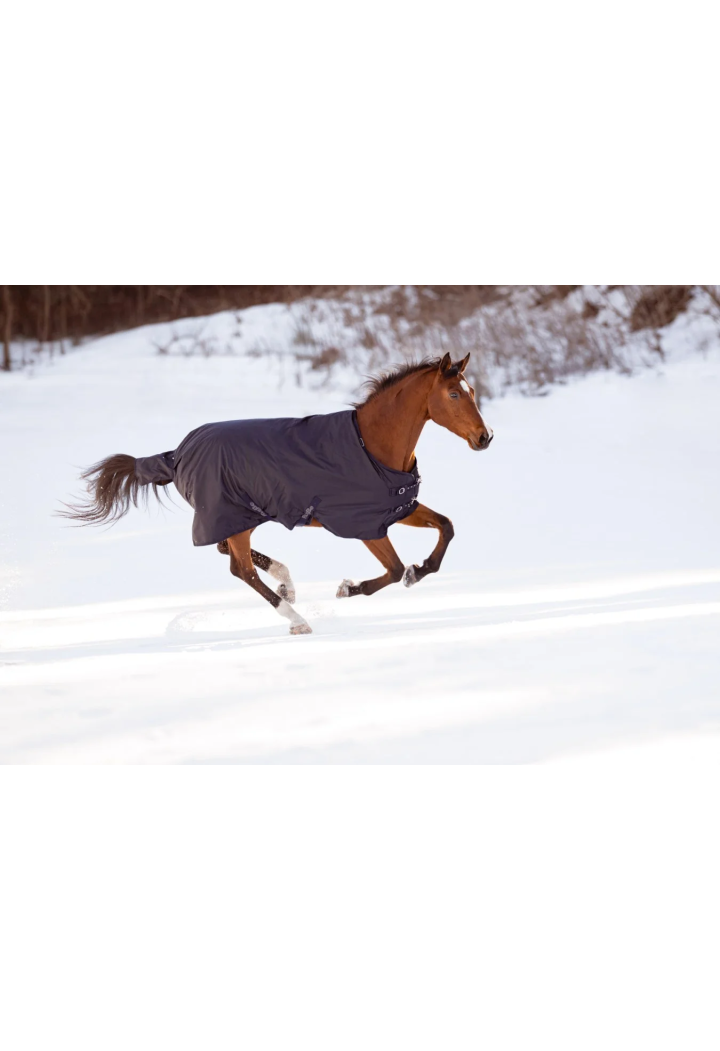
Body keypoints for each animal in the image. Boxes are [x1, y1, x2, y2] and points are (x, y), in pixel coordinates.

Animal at [60, 352, 493, 635]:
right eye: (455, 394)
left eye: (472, 390)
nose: (484, 438)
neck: (371, 445)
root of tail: (178, 454)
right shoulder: (364, 524)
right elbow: (392, 569)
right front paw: (350, 588)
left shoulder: (397, 506)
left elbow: (446, 528)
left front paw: (419, 570)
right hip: (231, 516)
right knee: (241, 570)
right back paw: (296, 618)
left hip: (242, 516)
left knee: (230, 554)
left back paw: (288, 584)